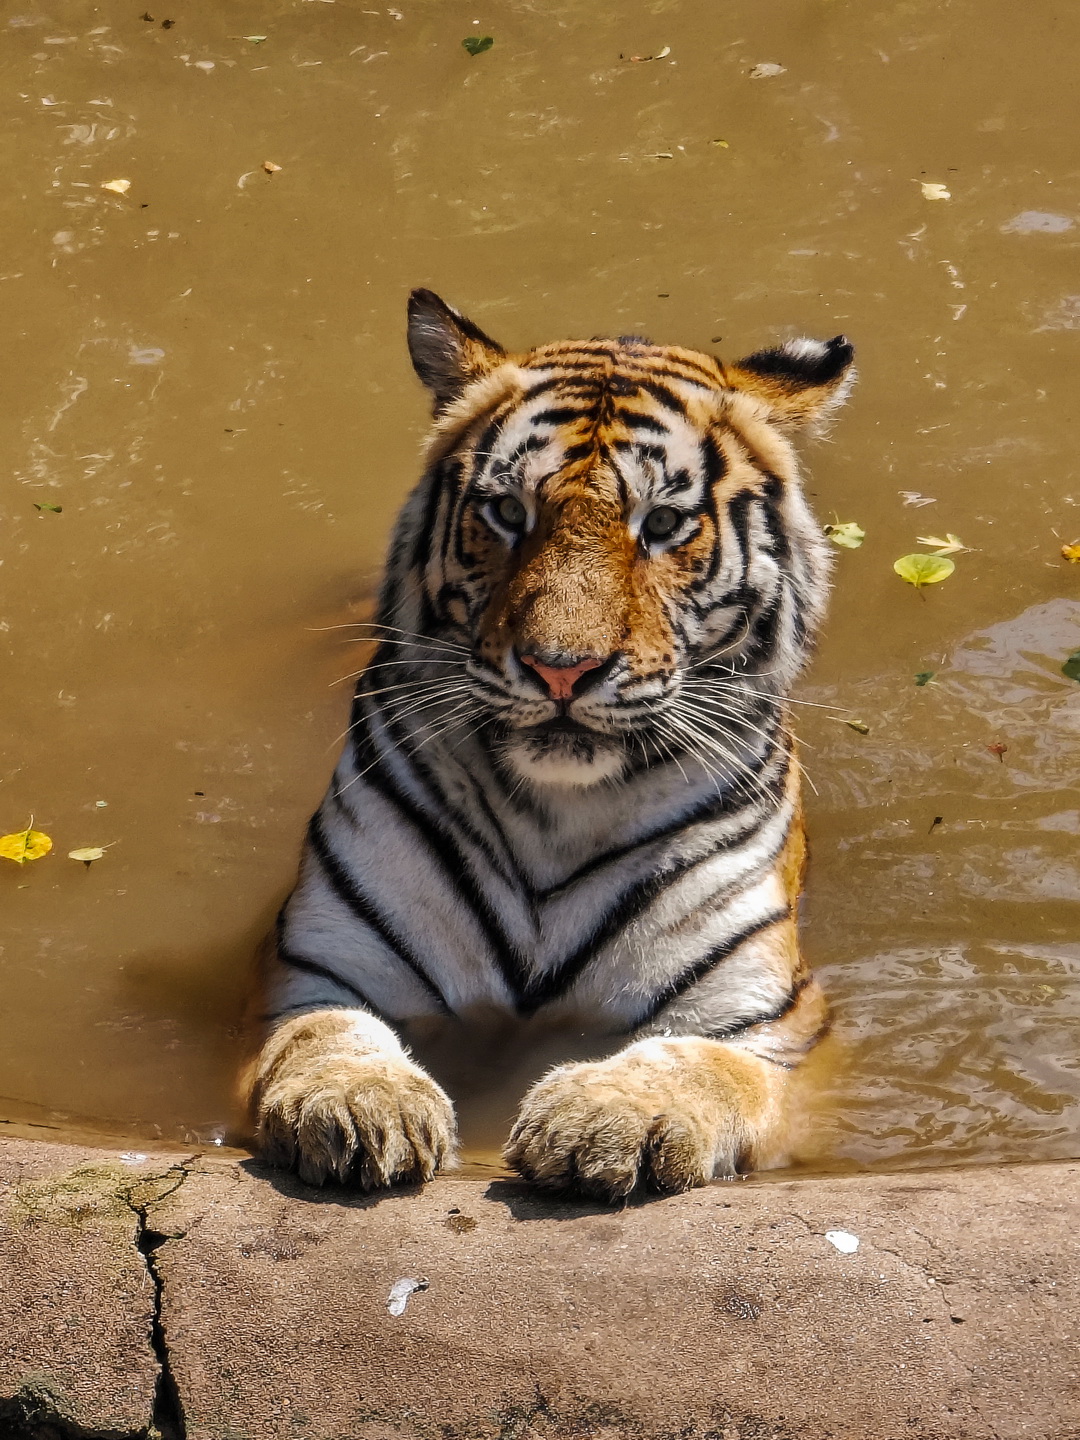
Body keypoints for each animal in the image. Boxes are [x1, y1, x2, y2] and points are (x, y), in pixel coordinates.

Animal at [245, 289, 855, 1202]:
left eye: (663, 523)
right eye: (507, 512)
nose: (560, 668)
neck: (555, 817)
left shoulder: (758, 1023)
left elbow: (692, 1061)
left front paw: (609, 1118)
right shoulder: (326, 968)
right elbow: (328, 1033)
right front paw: (358, 1104)